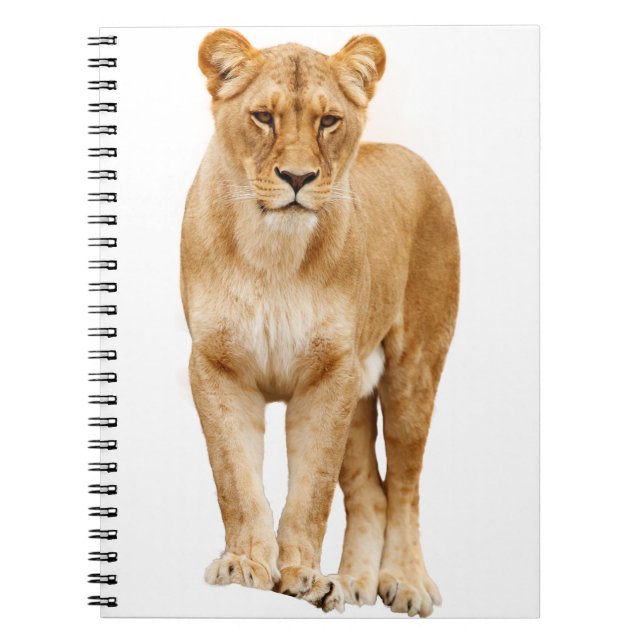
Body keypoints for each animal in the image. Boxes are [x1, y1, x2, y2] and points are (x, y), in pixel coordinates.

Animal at [180, 29, 459, 617]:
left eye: (329, 121)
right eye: (263, 117)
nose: (297, 177)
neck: (272, 252)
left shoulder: (329, 374)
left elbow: (311, 491)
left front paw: (301, 576)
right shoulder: (217, 366)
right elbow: (235, 478)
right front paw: (244, 566)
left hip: (413, 372)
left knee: (405, 485)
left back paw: (406, 582)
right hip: (358, 392)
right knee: (370, 491)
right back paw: (352, 582)